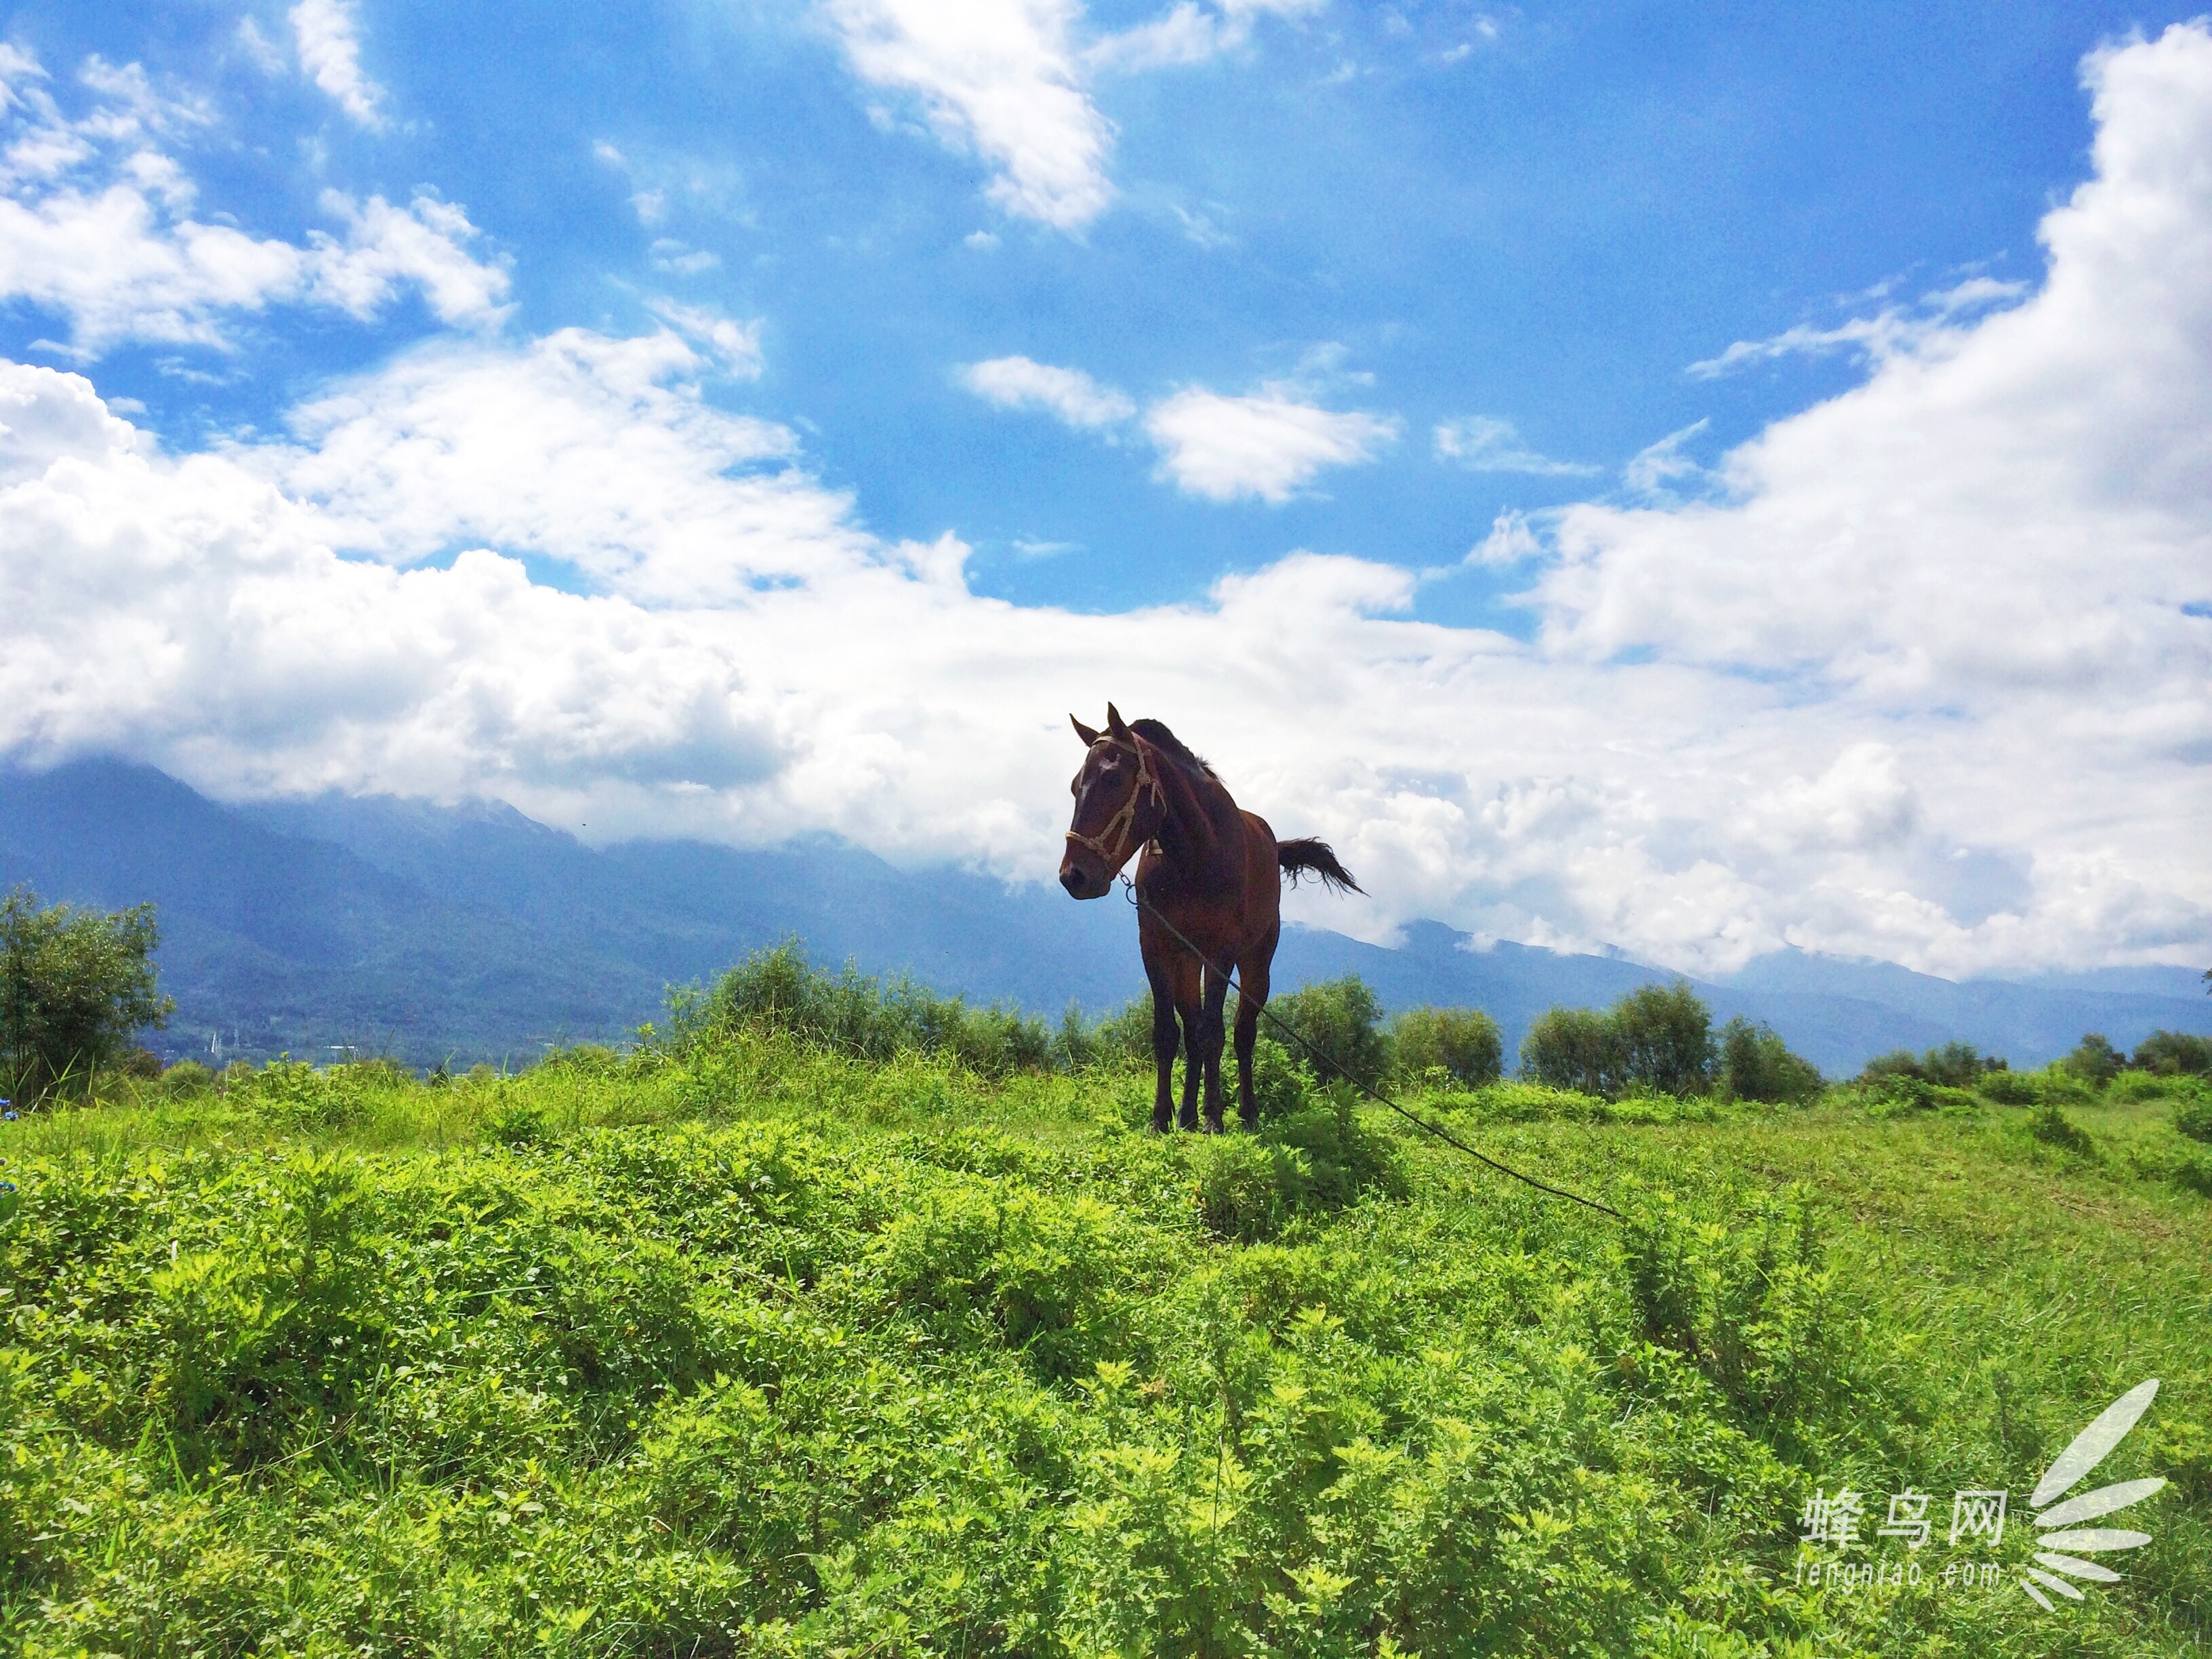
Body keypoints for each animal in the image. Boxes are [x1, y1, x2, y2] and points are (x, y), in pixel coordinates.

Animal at [1057, 708, 1353, 1141]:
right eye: (1076, 786)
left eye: (1113, 780)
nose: (1074, 876)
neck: (1192, 855)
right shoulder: (1156, 947)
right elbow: (1169, 1034)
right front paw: (1163, 1117)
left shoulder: (1220, 951)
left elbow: (1215, 1032)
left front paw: (1215, 1116)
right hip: (1186, 961)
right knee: (1193, 1029)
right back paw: (1187, 1115)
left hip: (1256, 962)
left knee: (1244, 1034)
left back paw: (1246, 1113)